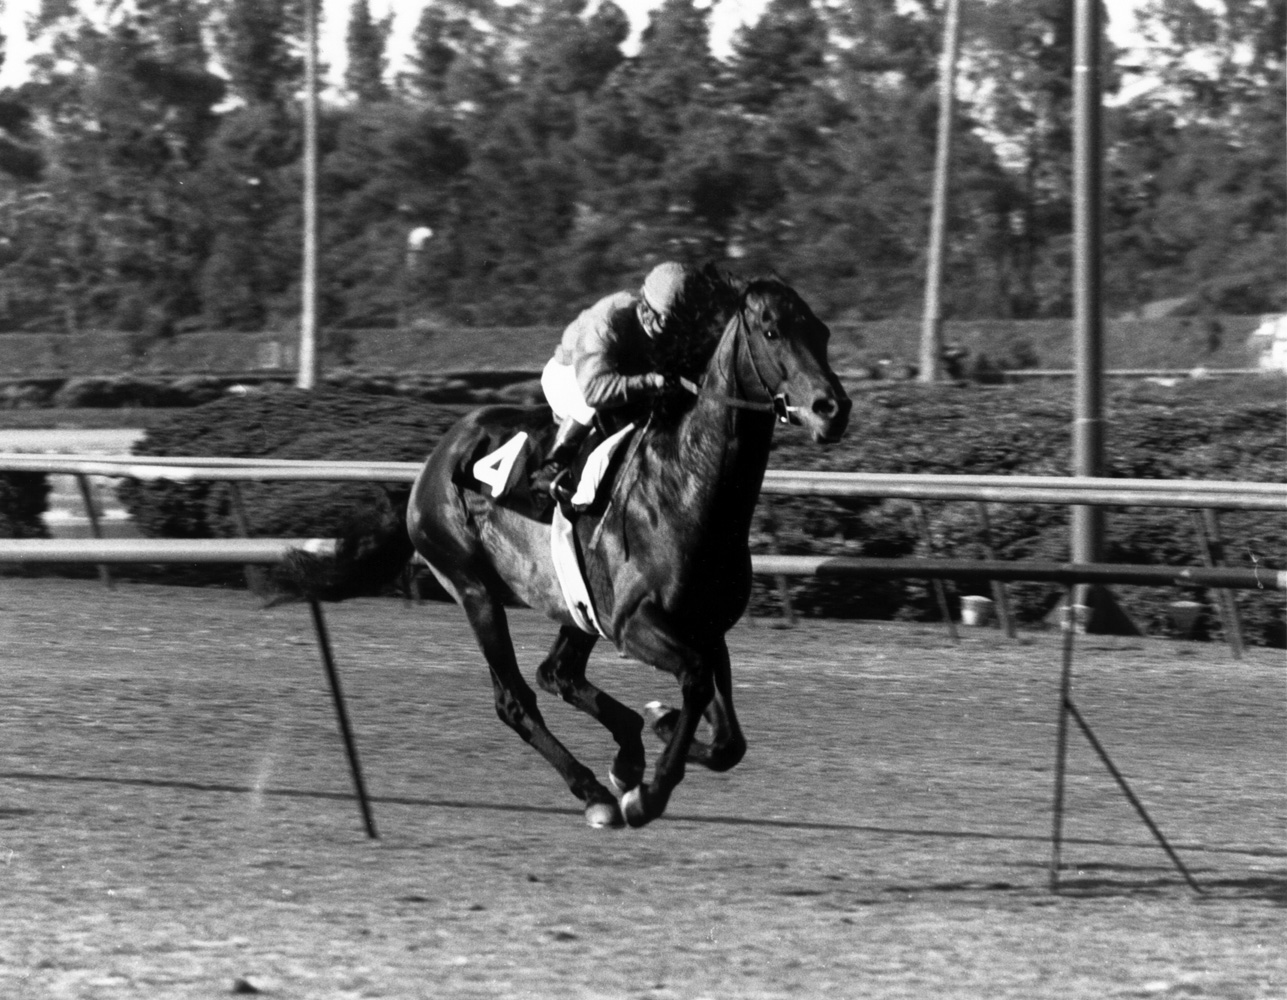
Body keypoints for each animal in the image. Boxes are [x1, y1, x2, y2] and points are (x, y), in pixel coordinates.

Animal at [307, 275, 849, 828]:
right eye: (771, 330)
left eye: (822, 331)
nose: (832, 408)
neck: (687, 488)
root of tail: (431, 465)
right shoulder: (633, 624)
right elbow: (696, 682)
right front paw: (648, 792)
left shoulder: (705, 627)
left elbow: (728, 742)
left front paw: (659, 728)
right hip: (473, 587)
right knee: (515, 699)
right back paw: (595, 791)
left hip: (576, 603)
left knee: (557, 673)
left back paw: (627, 753)